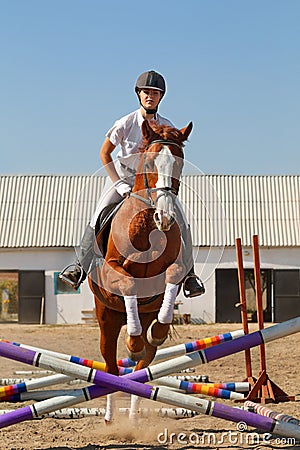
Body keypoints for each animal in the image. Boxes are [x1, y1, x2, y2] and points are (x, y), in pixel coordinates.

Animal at [88, 119, 193, 422]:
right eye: (149, 161)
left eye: (180, 163)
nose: (165, 217)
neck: (147, 225)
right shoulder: (111, 270)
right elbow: (129, 284)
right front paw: (132, 342)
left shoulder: (174, 268)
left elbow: (171, 278)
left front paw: (159, 328)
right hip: (106, 321)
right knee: (111, 368)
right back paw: (111, 417)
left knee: (140, 371)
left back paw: (133, 417)